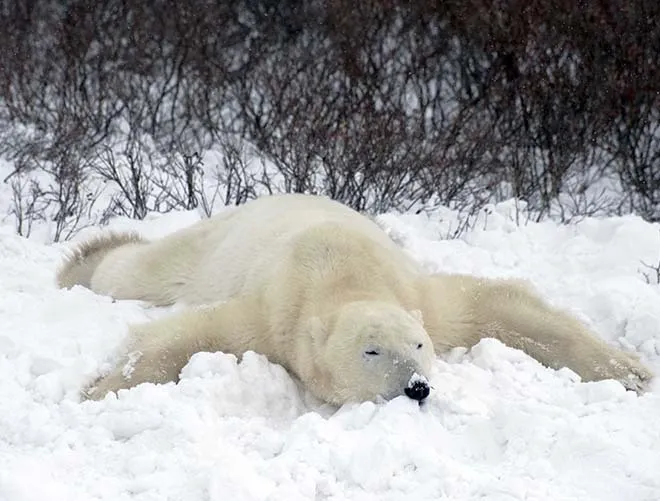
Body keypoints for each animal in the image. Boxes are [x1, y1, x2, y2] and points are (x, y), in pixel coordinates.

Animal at [55, 191, 648, 402]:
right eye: (371, 351)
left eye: (418, 346)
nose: (416, 388)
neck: (342, 272)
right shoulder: (273, 315)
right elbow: (191, 335)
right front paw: (99, 388)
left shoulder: (423, 299)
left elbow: (503, 306)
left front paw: (630, 371)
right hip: (209, 249)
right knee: (141, 271)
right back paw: (85, 258)